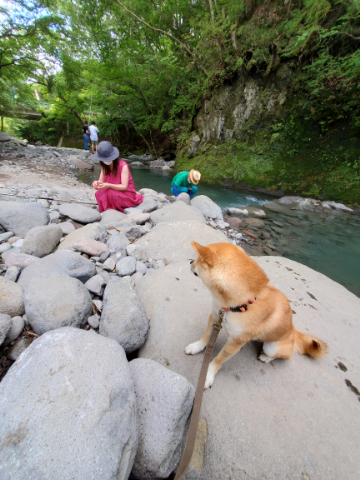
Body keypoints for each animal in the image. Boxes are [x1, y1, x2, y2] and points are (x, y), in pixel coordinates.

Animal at [184, 242, 328, 388]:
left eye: (198, 260)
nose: (190, 262)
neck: (242, 304)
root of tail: (292, 330)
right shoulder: (215, 316)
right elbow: (206, 336)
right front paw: (196, 347)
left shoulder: (235, 343)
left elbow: (219, 359)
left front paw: (208, 375)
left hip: (272, 347)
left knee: (285, 355)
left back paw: (266, 357)